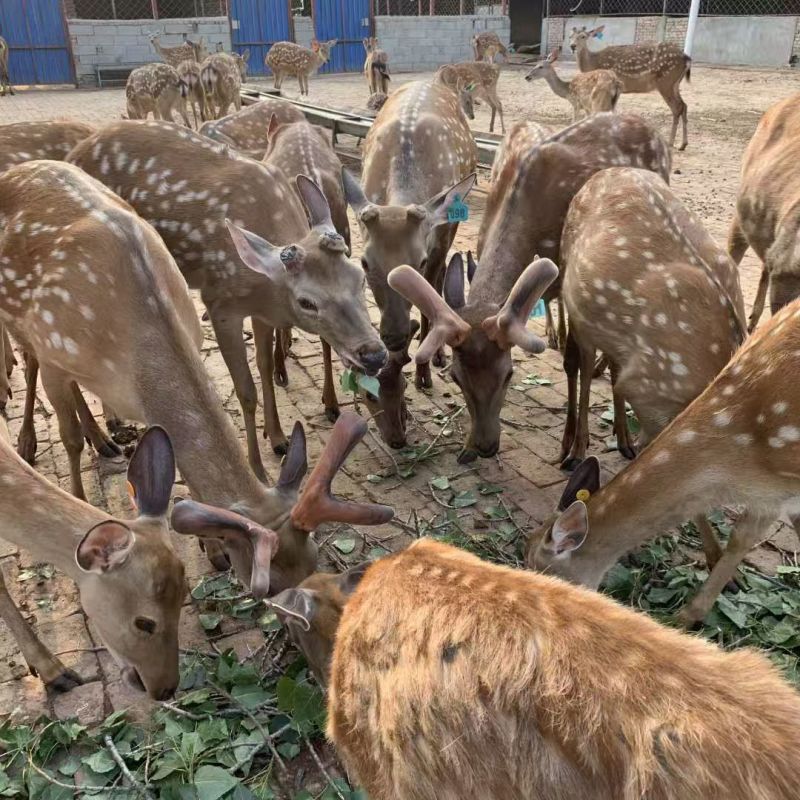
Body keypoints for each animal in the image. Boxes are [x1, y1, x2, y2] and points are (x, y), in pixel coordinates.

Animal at [0, 160, 392, 596]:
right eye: (266, 587)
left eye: (314, 558)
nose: (376, 355)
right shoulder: (56, 353)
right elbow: (67, 438)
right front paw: (78, 501)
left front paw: (212, 548)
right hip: (22, 324)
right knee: (30, 364)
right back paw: (45, 440)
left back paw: (105, 437)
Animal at [68, 120, 387, 481]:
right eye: (307, 302)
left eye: (359, 275)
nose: (374, 354)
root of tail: (73, 152)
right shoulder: (221, 301)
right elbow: (246, 390)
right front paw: (258, 469)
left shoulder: (262, 310)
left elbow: (264, 368)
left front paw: (278, 438)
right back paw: (102, 438)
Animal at [342, 80, 477, 449]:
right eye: (364, 261)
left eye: (418, 259)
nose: (394, 335)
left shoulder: (439, 238)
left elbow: (429, 295)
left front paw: (424, 374)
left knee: (443, 276)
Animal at [390, 113, 671, 464]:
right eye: (456, 377)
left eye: (509, 374)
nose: (485, 446)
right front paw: (466, 446)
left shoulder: (567, 276)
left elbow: (573, 361)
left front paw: (573, 447)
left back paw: (622, 436)